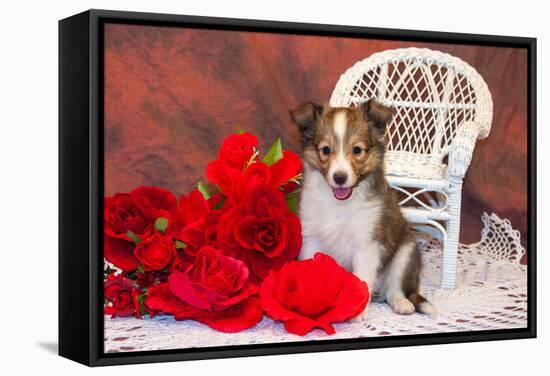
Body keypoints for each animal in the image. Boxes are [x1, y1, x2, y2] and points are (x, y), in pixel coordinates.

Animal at [292, 100, 438, 320]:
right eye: (325, 150)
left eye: (357, 150)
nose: (340, 177)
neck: (340, 203)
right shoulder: (312, 239)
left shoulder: (367, 243)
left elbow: (361, 278)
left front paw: (358, 311)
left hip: (406, 253)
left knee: (394, 289)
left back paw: (402, 304)